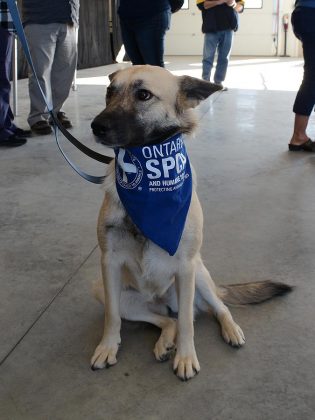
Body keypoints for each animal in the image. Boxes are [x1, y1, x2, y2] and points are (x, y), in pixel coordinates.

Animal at [90, 65, 292, 380]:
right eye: (110, 92)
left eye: (143, 95)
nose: (96, 126)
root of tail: (160, 300)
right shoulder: (109, 262)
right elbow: (112, 316)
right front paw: (107, 347)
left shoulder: (185, 267)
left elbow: (187, 321)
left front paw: (186, 357)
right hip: (106, 290)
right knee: (166, 320)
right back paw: (164, 342)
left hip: (199, 275)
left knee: (215, 308)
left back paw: (230, 330)